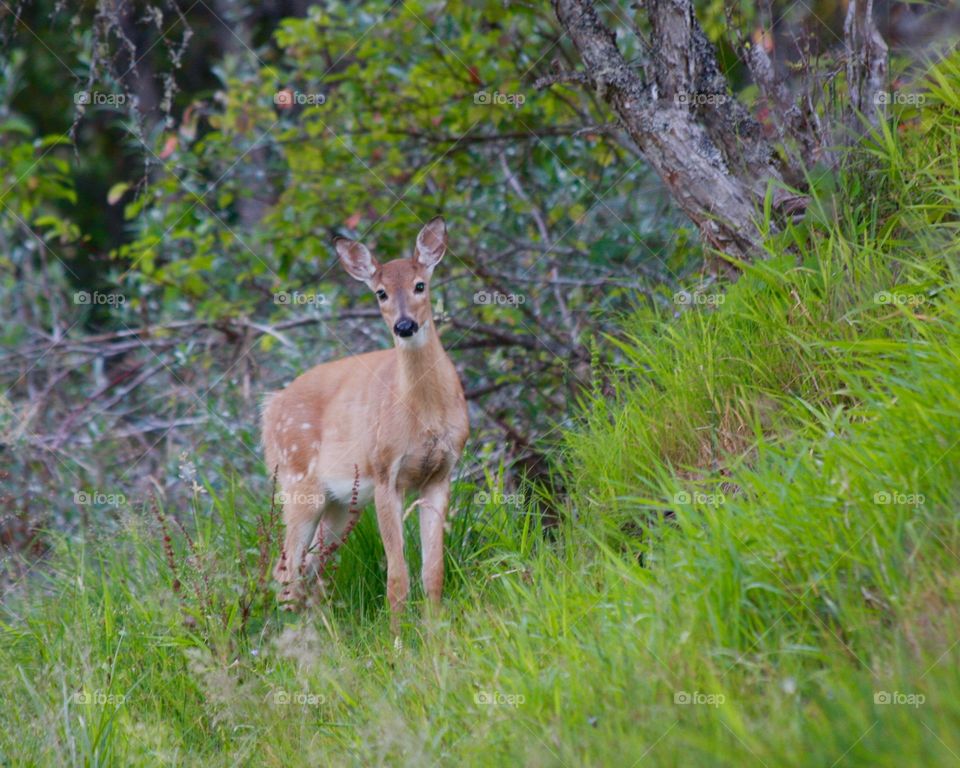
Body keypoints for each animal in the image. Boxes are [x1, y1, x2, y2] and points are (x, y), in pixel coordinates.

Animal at [261, 216, 469, 622]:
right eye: (380, 293)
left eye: (420, 285)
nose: (404, 326)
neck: (424, 415)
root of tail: (269, 407)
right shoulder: (386, 471)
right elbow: (397, 577)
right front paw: (398, 636)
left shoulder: (440, 474)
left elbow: (433, 572)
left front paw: (436, 631)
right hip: (297, 481)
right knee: (286, 568)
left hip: (342, 501)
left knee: (311, 566)